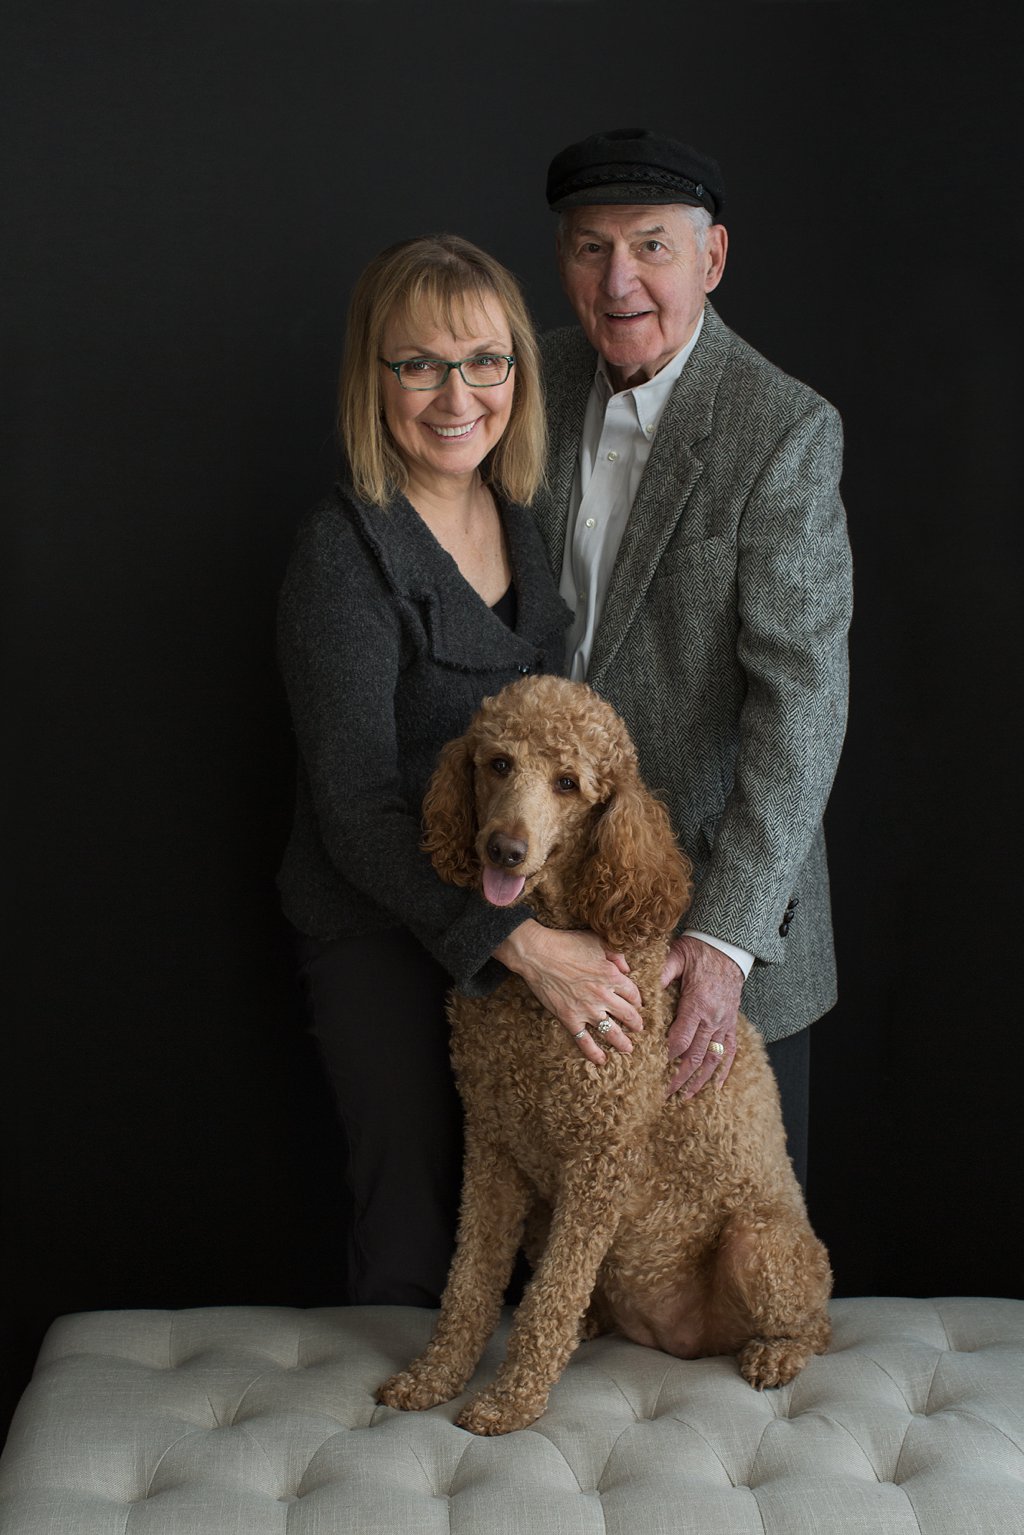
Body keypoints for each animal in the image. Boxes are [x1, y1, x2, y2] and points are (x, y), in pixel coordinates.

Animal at [376, 678, 835, 1430]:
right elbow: (470, 1280)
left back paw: (775, 1353)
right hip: (543, 1206)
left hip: (761, 1244)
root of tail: (681, 1341)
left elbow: (547, 1300)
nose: (504, 849)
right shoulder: (493, 1146)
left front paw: (510, 1399)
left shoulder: (600, 1164)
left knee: (817, 1325)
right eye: (497, 763)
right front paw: (435, 1374)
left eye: (568, 783)